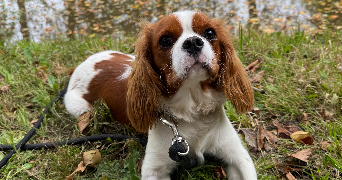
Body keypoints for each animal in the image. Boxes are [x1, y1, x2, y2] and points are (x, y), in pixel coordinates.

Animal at [63, 10, 256, 179]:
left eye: (209, 33)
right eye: (165, 40)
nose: (193, 42)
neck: (192, 106)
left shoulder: (239, 156)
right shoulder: (154, 169)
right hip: (79, 108)